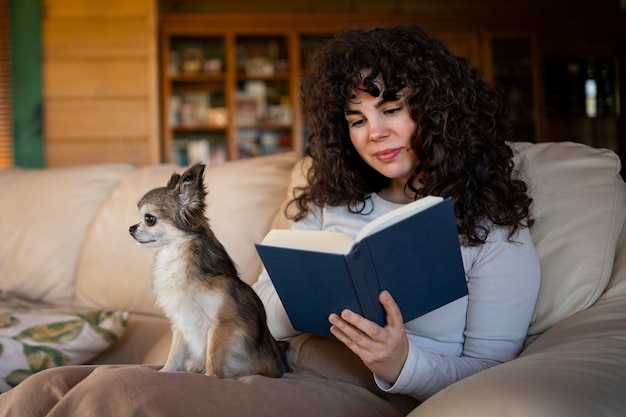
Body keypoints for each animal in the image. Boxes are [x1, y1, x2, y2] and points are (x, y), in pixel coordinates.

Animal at [130, 162, 290, 376]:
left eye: (149, 219)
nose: (130, 228)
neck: (175, 256)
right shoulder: (180, 322)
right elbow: (175, 353)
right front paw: (166, 371)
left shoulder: (222, 323)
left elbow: (213, 355)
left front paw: (212, 376)